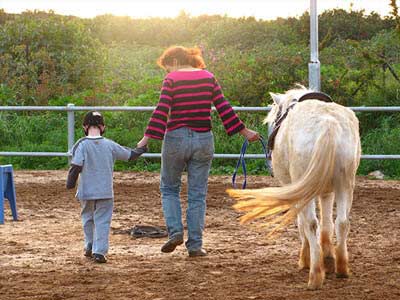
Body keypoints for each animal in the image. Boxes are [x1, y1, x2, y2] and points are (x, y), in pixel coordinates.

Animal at [228, 85, 362, 290]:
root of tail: (328, 123)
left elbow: (303, 223)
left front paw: (306, 258)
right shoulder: (327, 192)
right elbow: (327, 224)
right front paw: (328, 257)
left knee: (311, 223)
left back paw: (315, 274)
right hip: (345, 185)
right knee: (342, 222)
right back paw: (341, 268)